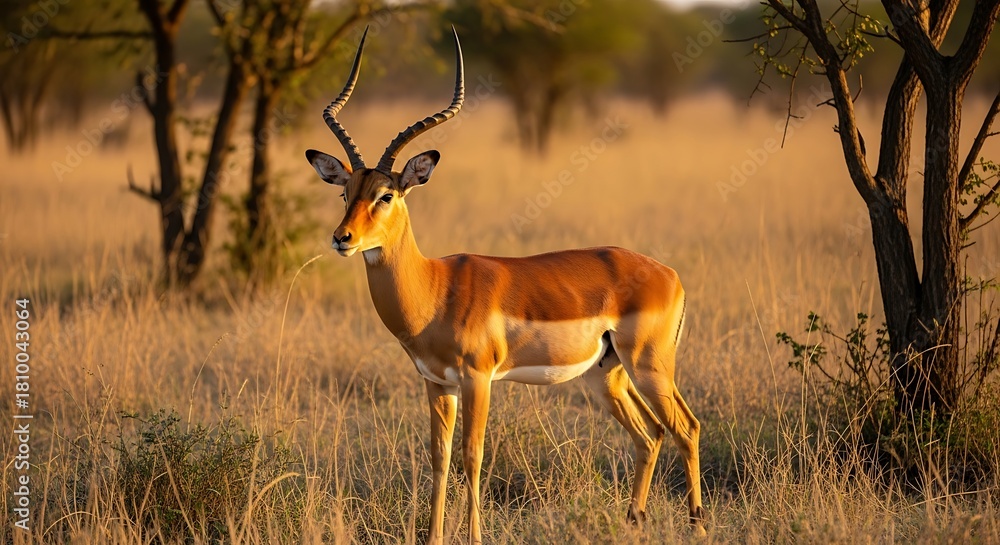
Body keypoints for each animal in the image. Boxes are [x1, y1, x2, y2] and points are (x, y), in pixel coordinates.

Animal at [305, 27, 706, 543]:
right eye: (345, 192)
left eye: (386, 194)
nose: (343, 238)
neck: (436, 289)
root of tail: (668, 273)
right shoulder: (436, 383)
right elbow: (439, 458)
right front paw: (433, 536)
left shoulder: (478, 378)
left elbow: (473, 456)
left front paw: (475, 536)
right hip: (608, 374)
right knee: (651, 434)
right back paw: (633, 522)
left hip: (650, 366)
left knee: (686, 427)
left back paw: (696, 525)